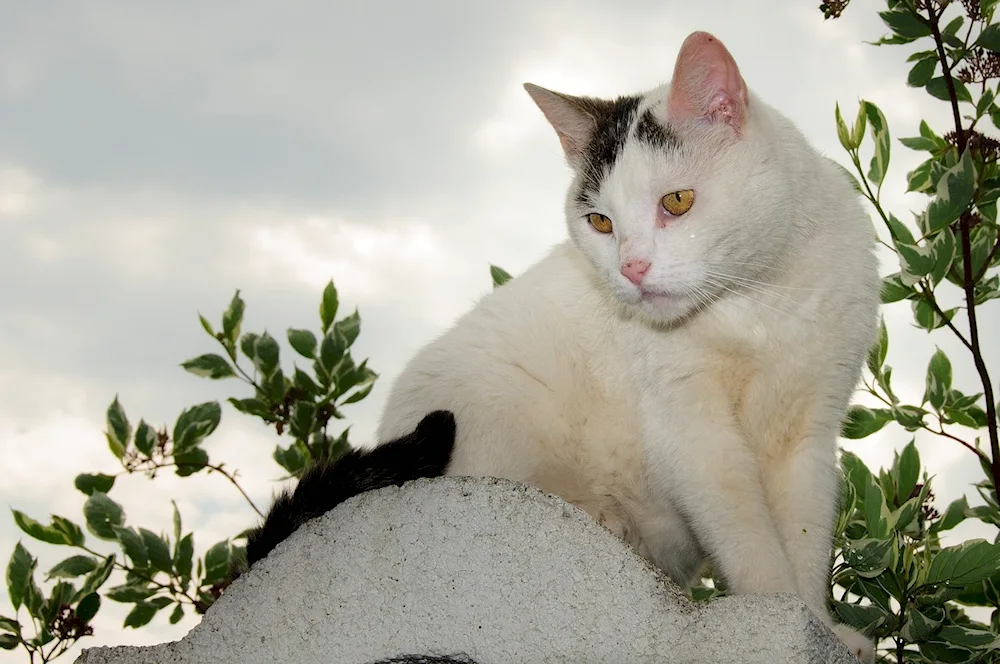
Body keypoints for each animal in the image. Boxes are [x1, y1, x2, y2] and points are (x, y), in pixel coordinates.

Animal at [376, 31, 884, 664]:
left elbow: (806, 538)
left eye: (678, 202)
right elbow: (749, 538)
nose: (630, 269)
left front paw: (819, 624)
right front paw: (776, 611)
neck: (758, 301)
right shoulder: (693, 432)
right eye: (599, 222)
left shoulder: (808, 435)